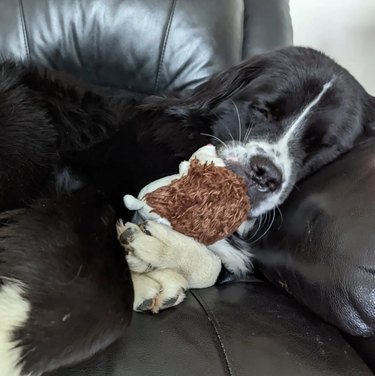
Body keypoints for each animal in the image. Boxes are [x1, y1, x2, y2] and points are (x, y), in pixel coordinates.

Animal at [0, 47, 374, 376]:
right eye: (262, 110)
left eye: (322, 147)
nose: (264, 173)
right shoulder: (83, 184)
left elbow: (214, 264)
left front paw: (155, 253)